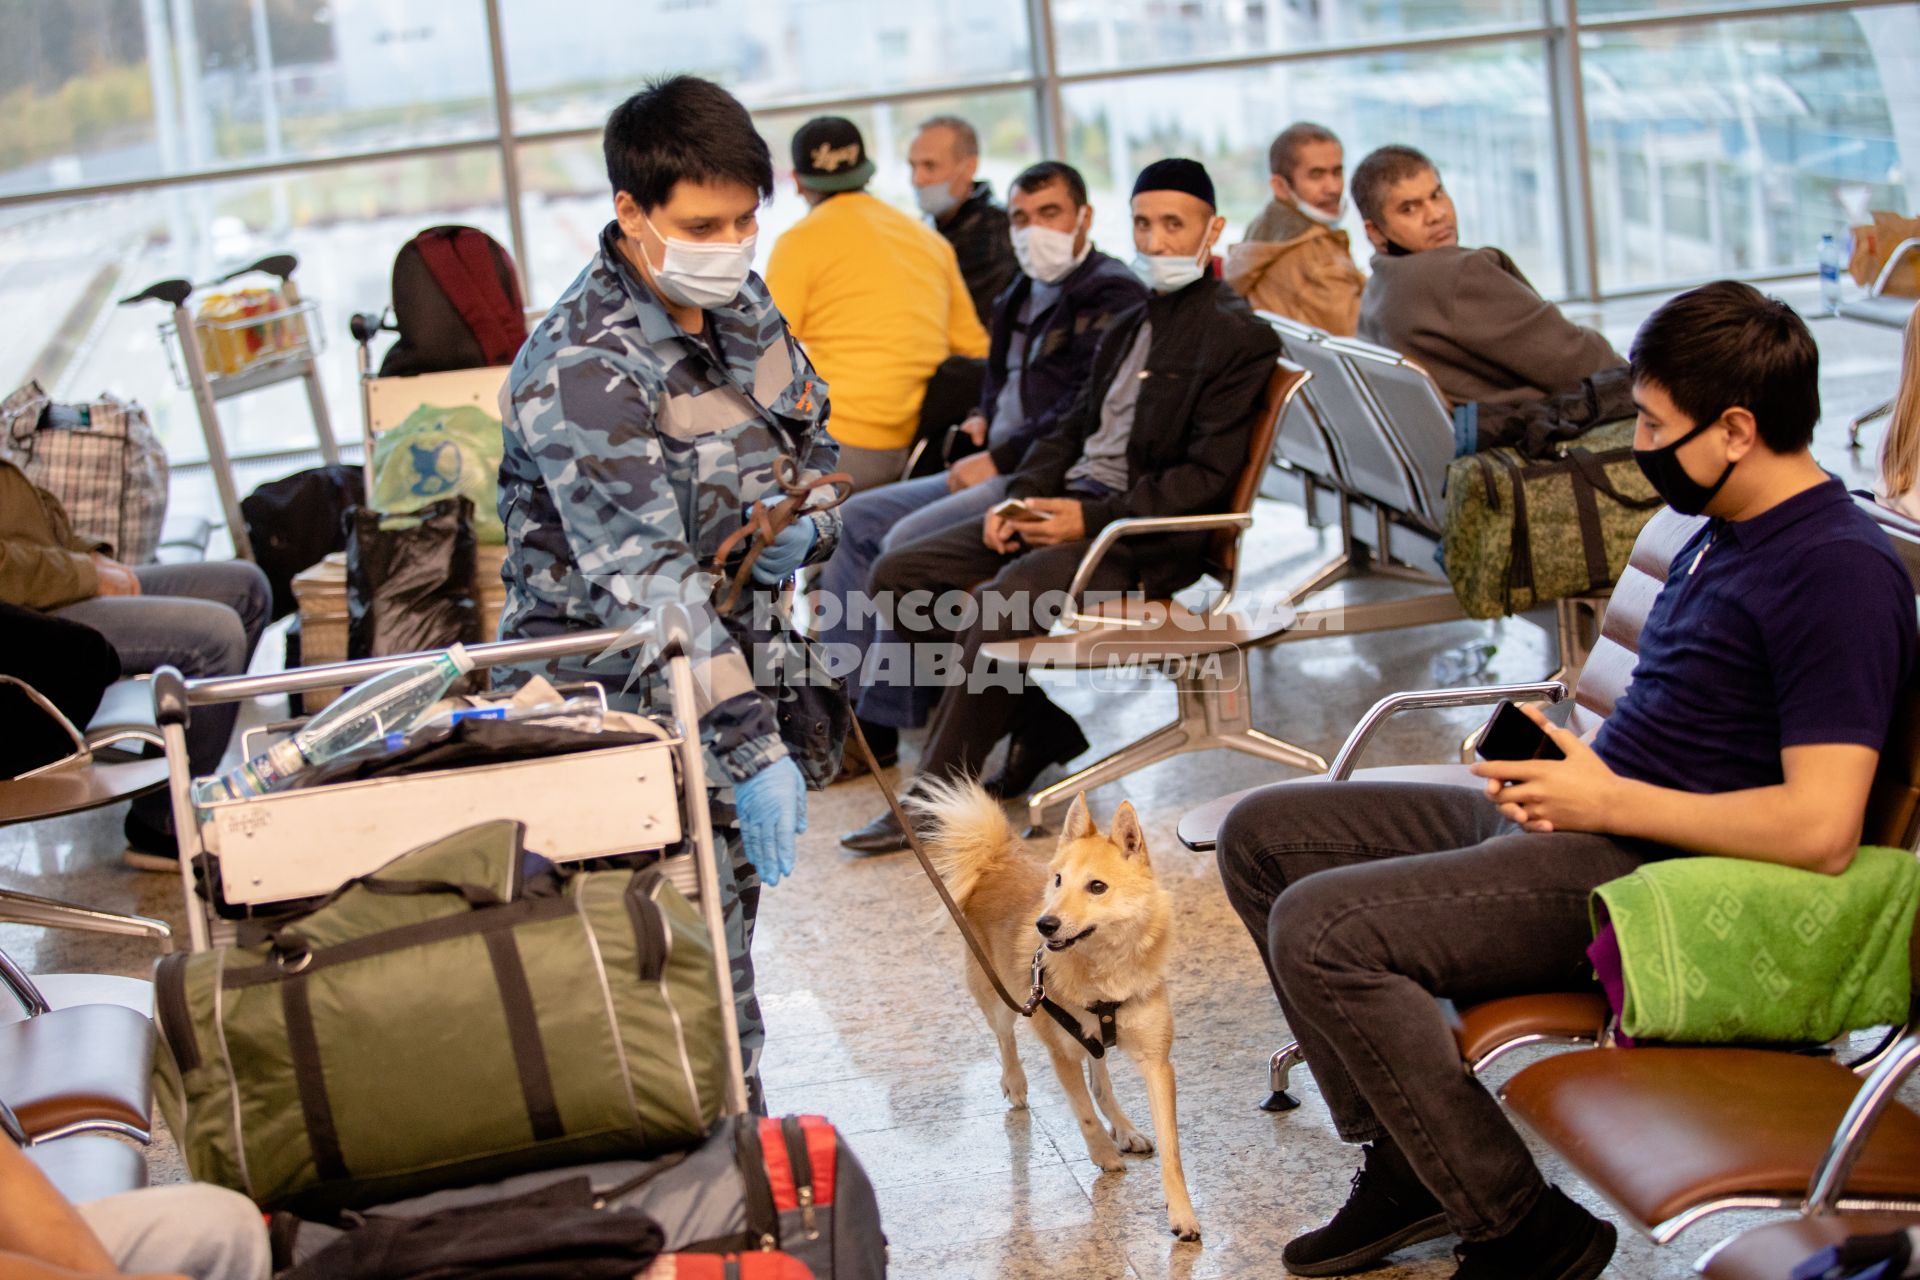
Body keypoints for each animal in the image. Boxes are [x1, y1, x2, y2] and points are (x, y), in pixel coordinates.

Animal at [913, 775, 1198, 1243]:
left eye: (1097, 886)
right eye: (1059, 880)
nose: (1044, 925)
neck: (1102, 970)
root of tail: (996, 859)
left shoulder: (1157, 1062)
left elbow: (1171, 1147)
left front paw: (1182, 1214)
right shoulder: (1061, 1053)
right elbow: (1083, 1113)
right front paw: (1103, 1153)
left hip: (1090, 1040)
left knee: (1100, 1079)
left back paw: (1125, 1128)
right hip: (996, 996)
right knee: (1006, 1038)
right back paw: (1016, 1083)